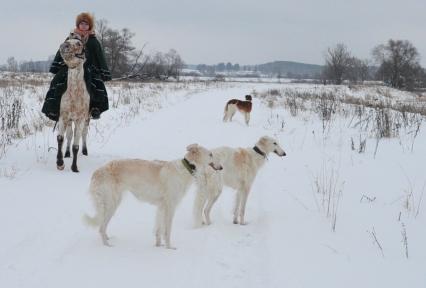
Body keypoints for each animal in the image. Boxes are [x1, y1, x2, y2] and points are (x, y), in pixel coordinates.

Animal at [84, 145, 223, 249]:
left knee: (102, 226)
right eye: (210, 154)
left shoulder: (161, 207)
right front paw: (169, 248)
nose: (221, 167)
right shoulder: (170, 207)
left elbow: (158, 229)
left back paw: (108, 239)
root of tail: (97, 172)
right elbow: (167, 231)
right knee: (101, 227)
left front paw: (158, 245)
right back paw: (107, 245)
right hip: (111, 204)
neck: (186, 168)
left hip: (111, 204)